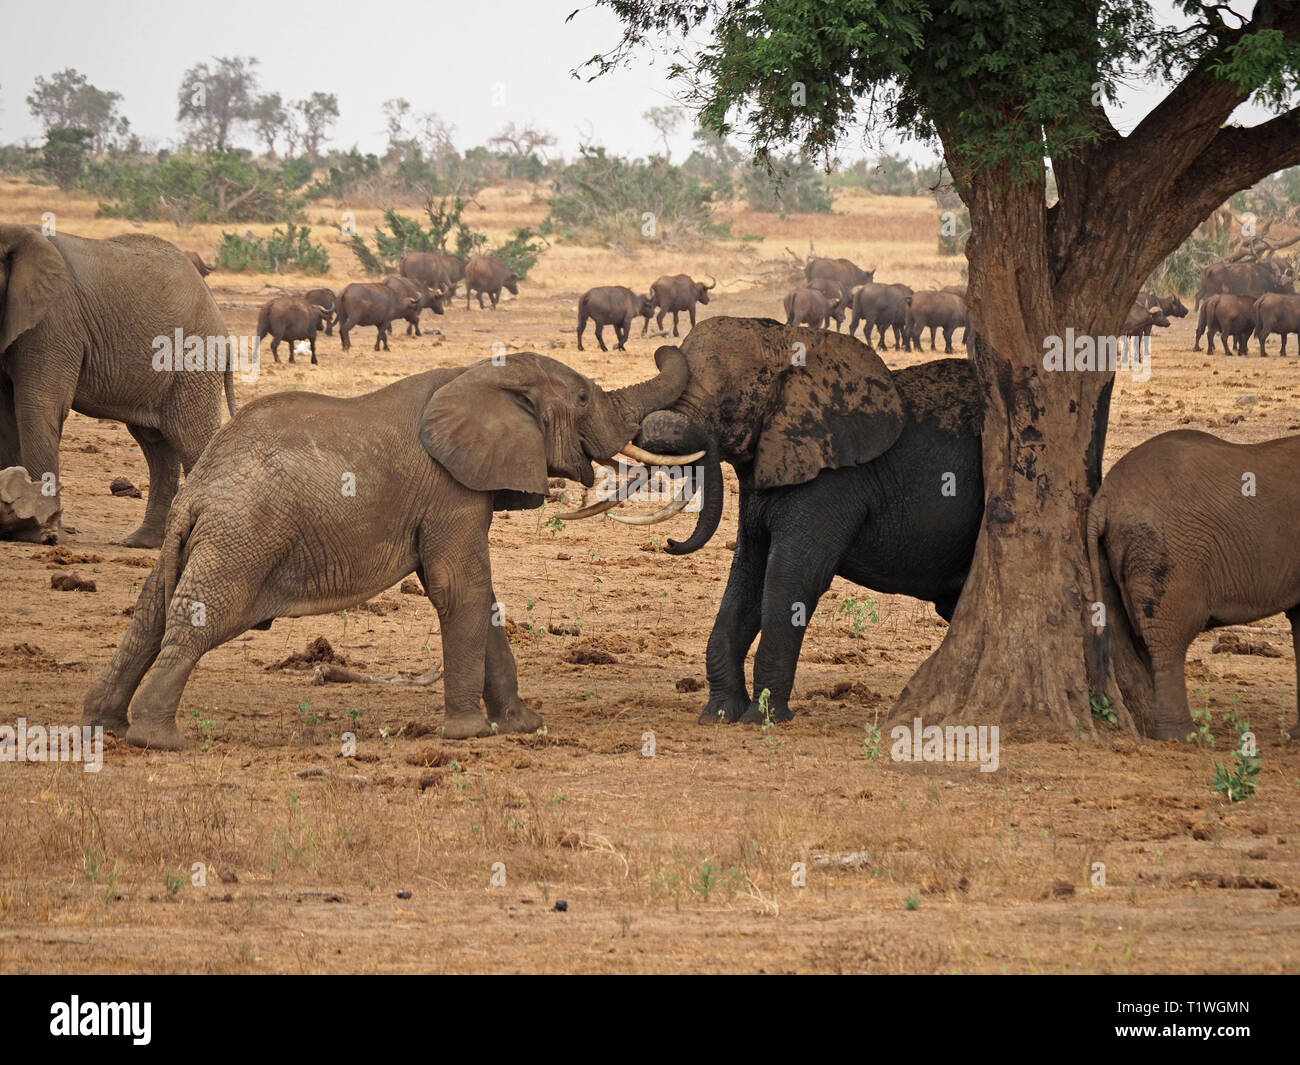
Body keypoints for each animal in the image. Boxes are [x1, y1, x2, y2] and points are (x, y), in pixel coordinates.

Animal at [0, 221, 236, 546]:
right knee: (156, 445)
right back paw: (141, 542)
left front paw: (37, 533)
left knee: (191, 439)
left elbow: (39, 407)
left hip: (194, 360)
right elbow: (5, 417)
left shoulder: (53, 322)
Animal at [82, 351, 696, 749]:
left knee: (149, 616)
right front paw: (469, 734)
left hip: (197, 540)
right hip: (242, 539)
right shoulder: (450, 489)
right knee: (199, 622)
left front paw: (524, 726)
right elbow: (460, 587)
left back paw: (105, 726)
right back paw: (158, 740)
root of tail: (200, 492)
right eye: (585, 397)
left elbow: (481, 595)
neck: (478, 373)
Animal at [564, 318, 977, 723]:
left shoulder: (833, 481)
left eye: (730, 406)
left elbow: (792, 579)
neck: (788, 343)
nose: (669, 544)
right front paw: (720, 715)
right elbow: (748, 574)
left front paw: (766, 718)